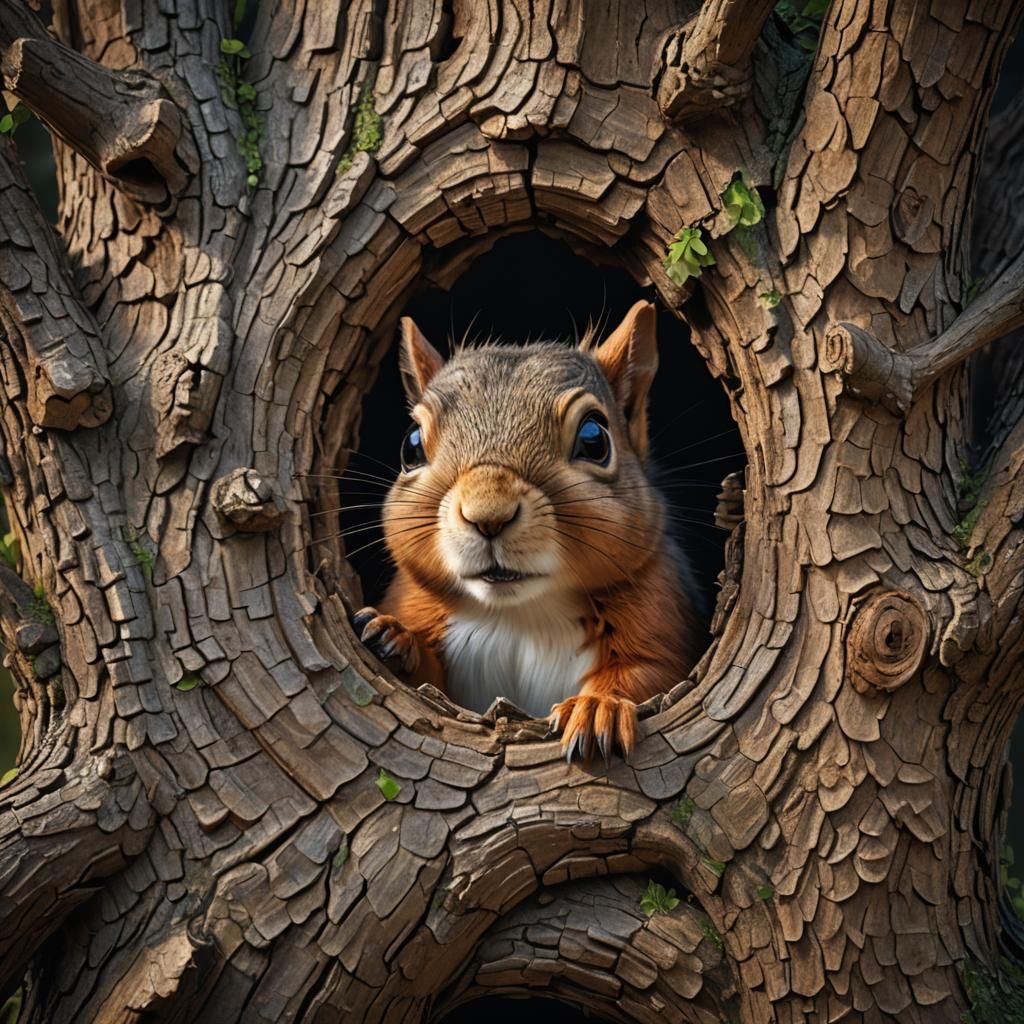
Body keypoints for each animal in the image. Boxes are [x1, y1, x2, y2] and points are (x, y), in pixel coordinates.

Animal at [351, 300, 704, 758]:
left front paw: (598, 708)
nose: (488, 515)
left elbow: (647, 673)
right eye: (410, 446)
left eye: (595, 438)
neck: (523, 615)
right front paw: (393, 636)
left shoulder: (662, 616)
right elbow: (429, 683)